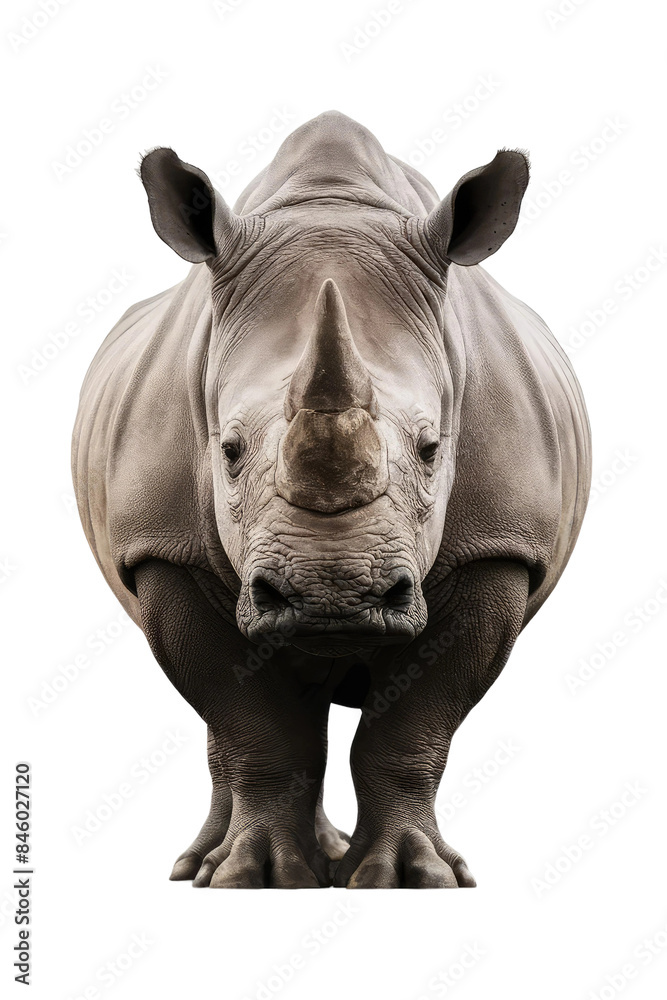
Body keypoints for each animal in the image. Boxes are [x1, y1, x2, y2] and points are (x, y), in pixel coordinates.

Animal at [72, 111, 591, 889]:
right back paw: (207, 865)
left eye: (432, 449)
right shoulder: (164, 550)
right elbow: (253, 722)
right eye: (227, 451)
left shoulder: (497, 549)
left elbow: (412, 726)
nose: (333, 596)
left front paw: (413, 877)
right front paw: (255, 877)